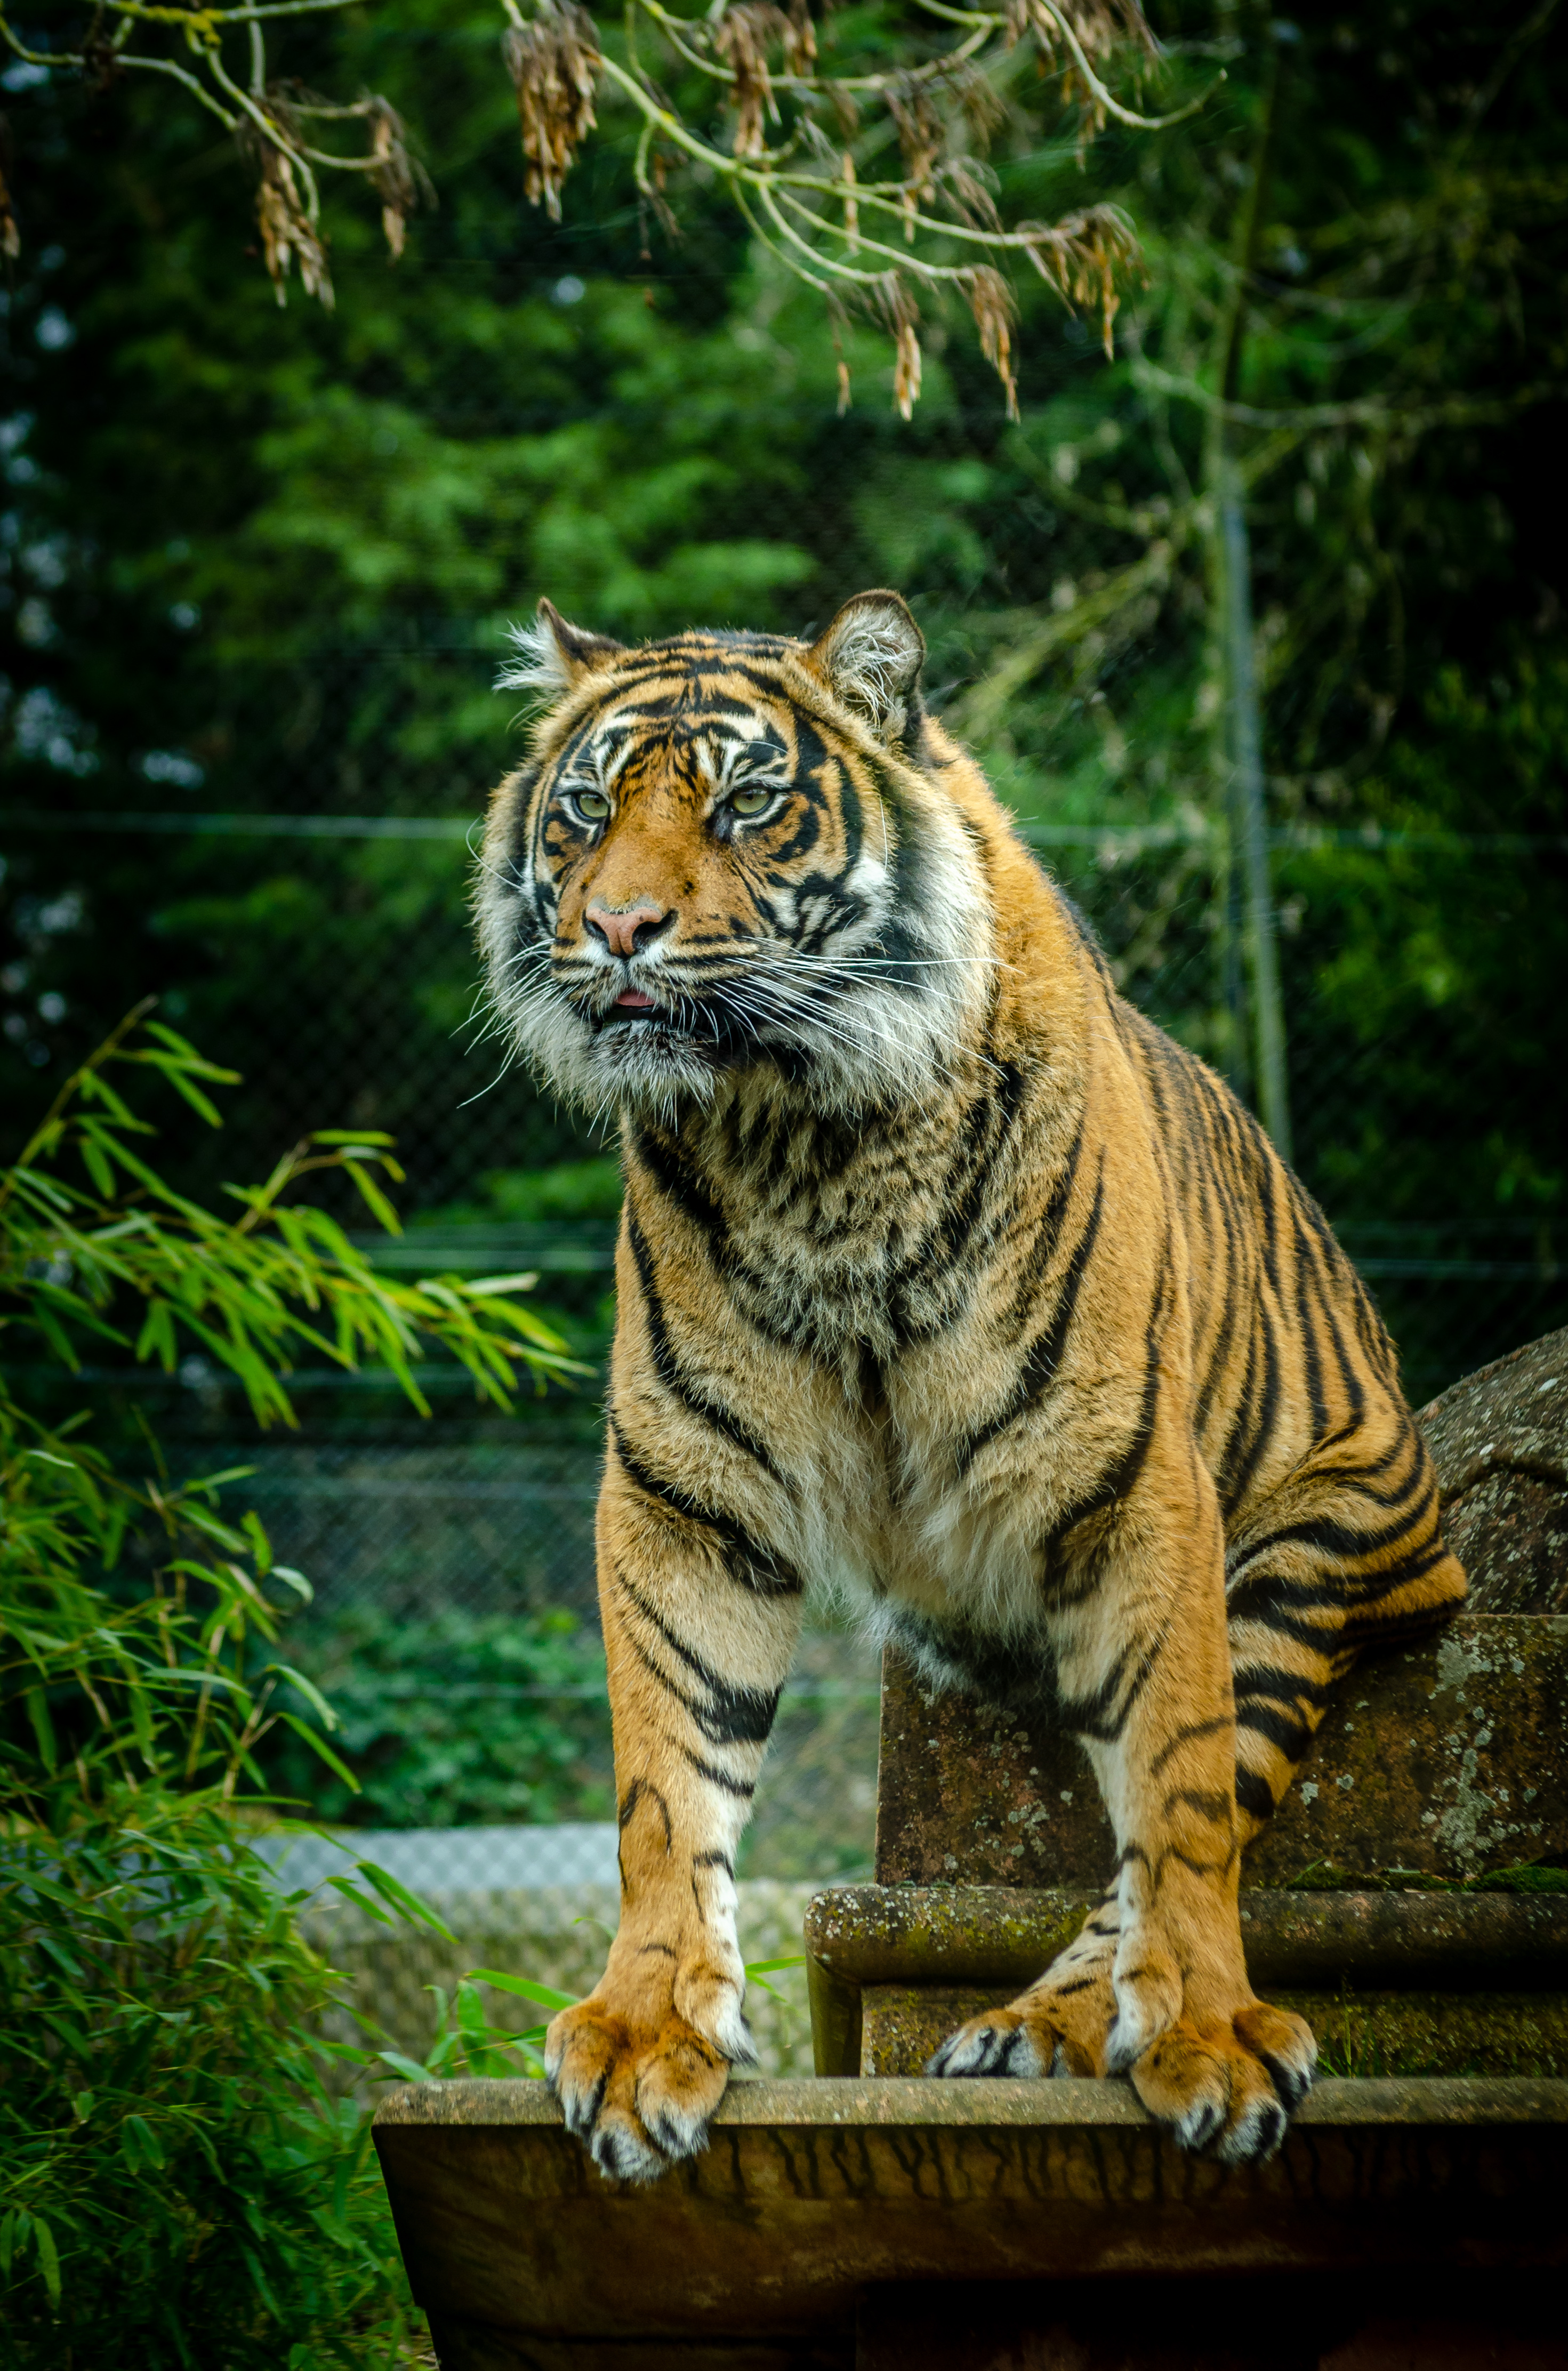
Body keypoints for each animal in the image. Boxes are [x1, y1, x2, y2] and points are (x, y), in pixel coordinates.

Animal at [475, 587, 1466, 2181]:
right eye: (584, 810)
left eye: (744, 803)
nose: (615, 927)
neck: (799, 1136)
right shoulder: (687, 1494)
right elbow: (664, 1784)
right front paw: (645, 2034)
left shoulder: (1132, 1482)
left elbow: (1177, 1795)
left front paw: (1208, 2035)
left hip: (1305, 1553)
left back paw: (1045, 2026)